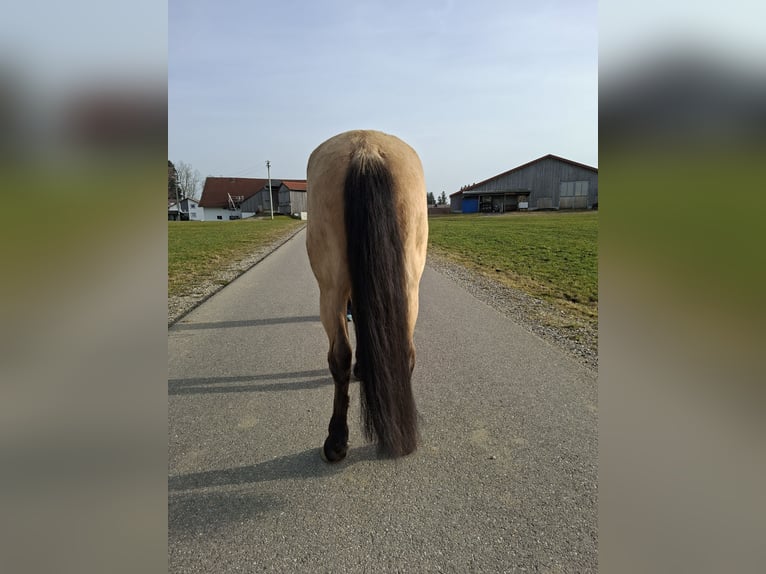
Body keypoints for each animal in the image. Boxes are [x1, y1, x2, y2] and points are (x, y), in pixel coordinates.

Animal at [306, 130, 429, 462]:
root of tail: (366, 147)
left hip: (330, 289)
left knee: (339, 356)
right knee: (407, 349)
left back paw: (336, 440)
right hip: (410, 284)